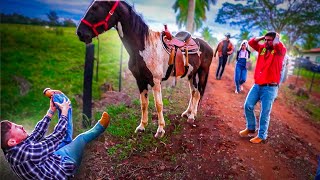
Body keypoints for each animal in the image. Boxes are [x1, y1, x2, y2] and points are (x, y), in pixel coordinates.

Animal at [76, 0, 214, 138]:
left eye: (95, 8)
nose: (80, 33)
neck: (144, 47)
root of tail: (207, 44)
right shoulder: (140, 80)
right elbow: (144, 103)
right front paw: (142, 127)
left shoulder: (155, 81)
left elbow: (159, 105)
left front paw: (160, 130)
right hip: (191, 74)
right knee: (193, 92)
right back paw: (187, 112)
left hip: (202, 72)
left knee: (198, 93)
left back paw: (192, 116)